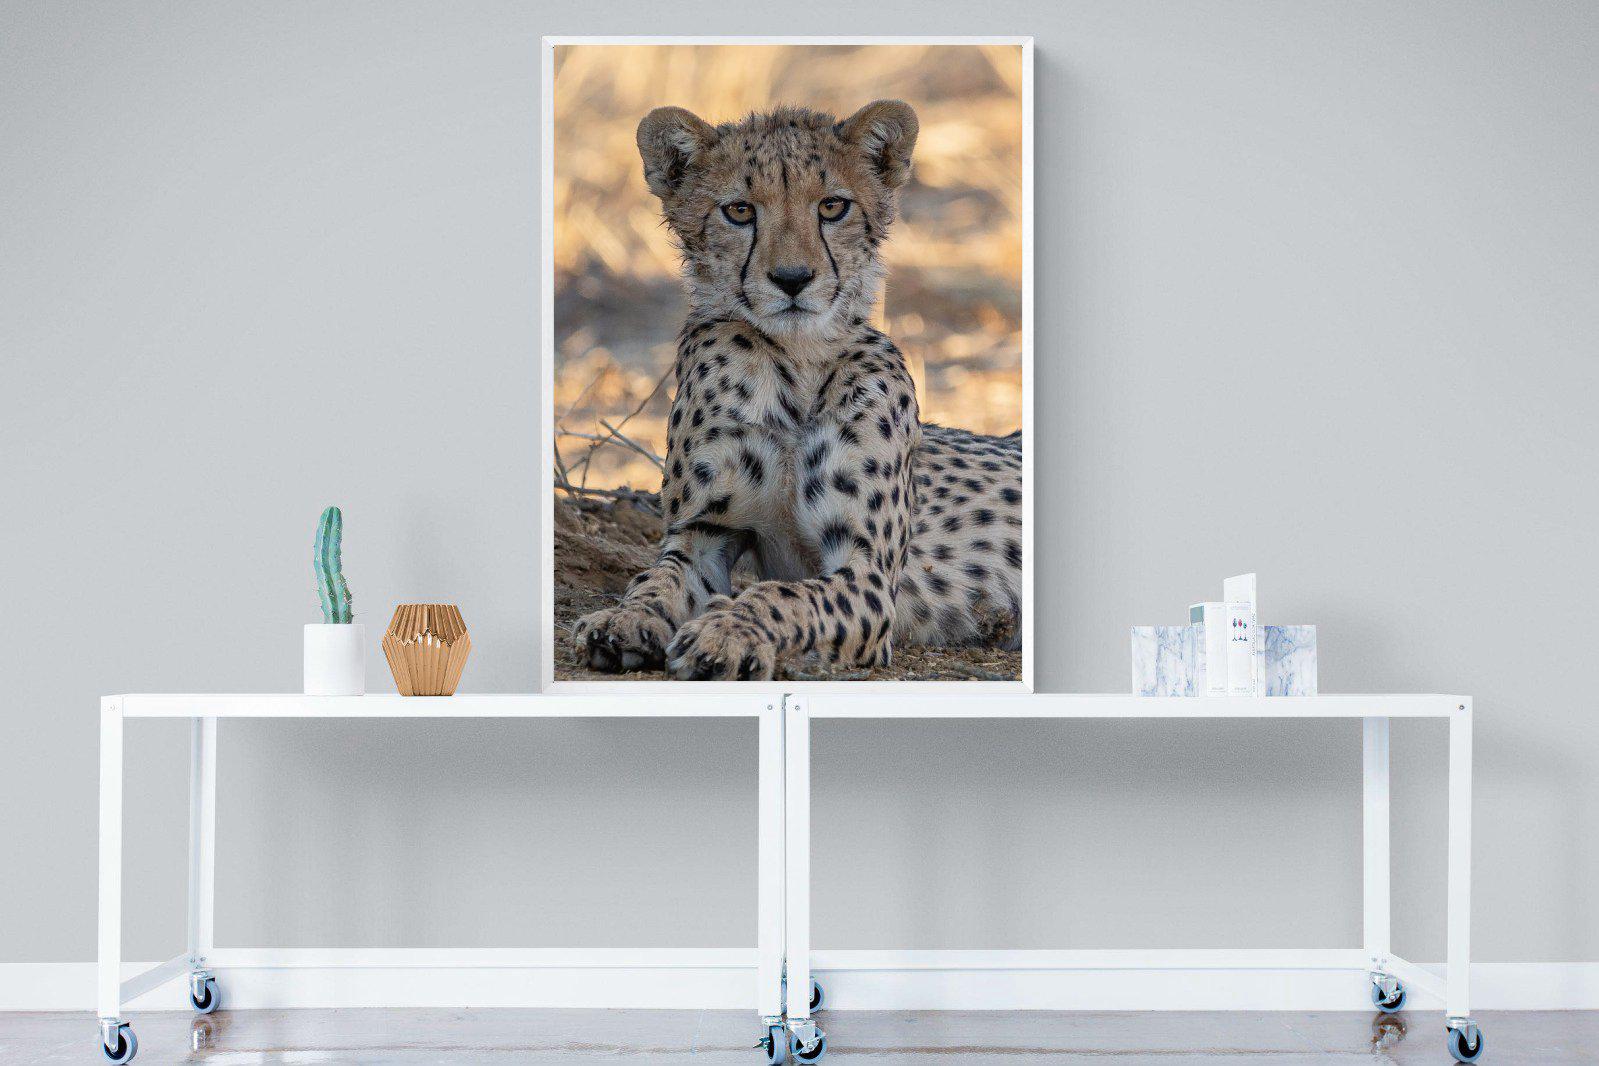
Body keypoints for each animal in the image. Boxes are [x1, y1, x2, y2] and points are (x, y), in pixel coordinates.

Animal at [572, 99, 1023, 681]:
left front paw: (727, 631)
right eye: (739, 211)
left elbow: (783, 596)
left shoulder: (867, 572)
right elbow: (657, 579)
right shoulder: (703, 533)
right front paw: (624, 619)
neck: (796, 365)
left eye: (832, 206)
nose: (792, 279)